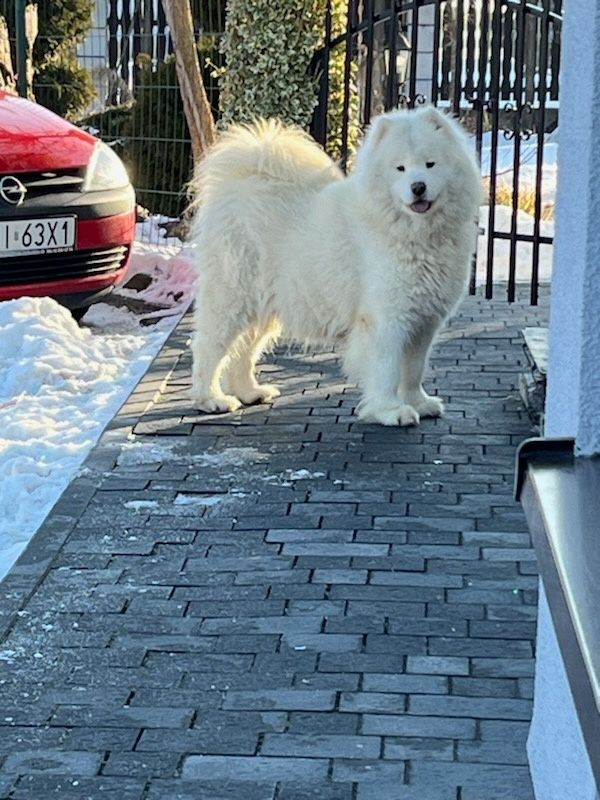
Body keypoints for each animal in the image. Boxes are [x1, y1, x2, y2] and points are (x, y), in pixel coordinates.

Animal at [190, 111, 480, 432]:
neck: (412, 233)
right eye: (400, 168)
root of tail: (239, 182)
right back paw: (211, 400)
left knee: (244, 351)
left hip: (265, 306)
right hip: (235, 299)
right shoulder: (387, 320)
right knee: (209, 348)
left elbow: (414, 369)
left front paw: (419, 403)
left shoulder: (423, 322)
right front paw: (390, 411)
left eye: (430, 164)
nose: (418, 187)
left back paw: (250, 392)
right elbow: (388, 370)